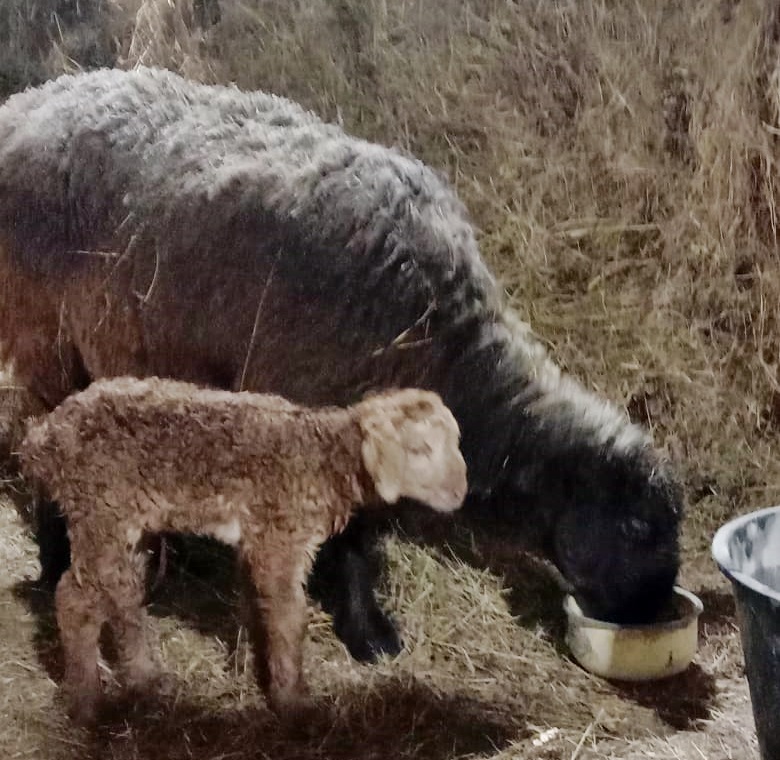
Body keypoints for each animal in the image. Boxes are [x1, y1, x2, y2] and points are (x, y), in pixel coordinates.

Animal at [0, 67, 684, 660]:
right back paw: (59, 564)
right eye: (634, 529)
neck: (444, 349)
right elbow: (347, 539)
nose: (652, 614)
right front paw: (367, 631)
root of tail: (35, 98)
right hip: (47, 338)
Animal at [18, 378, 466, 728]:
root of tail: (44, 436)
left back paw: (146, 681)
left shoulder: (257, 540)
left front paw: (255, 672)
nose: (460, 492)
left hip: (124, 523)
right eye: (420, 449)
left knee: (122, 593)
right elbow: (289, 616)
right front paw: (295, 704)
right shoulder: (280, 538)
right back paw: (87, 705)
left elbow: (257, 607)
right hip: (98, 511)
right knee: (74, 599)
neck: (325, 458)